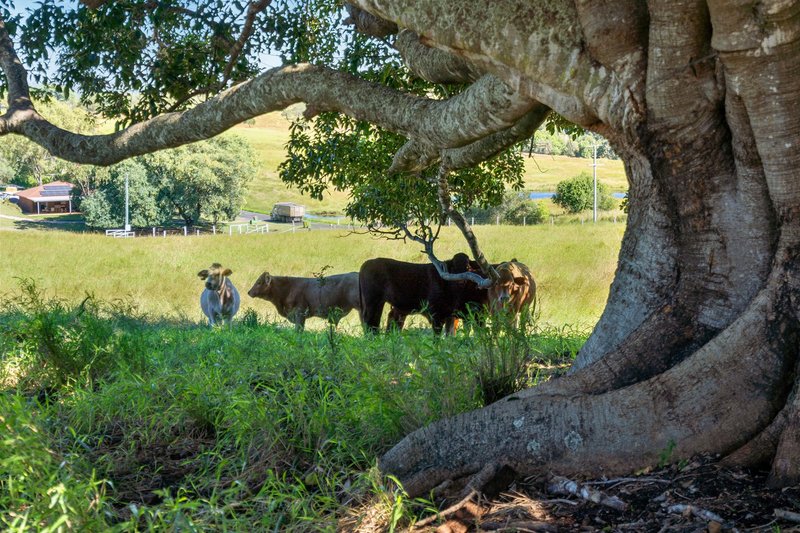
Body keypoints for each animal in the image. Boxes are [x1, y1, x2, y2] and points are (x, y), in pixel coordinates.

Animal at [360, 252, 488, 334]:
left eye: (468, 267)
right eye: (453, 268)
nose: (460, 281)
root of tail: (368, 262)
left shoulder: (451, 315)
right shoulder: (437, 315)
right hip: (373, 303)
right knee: (370, 323)